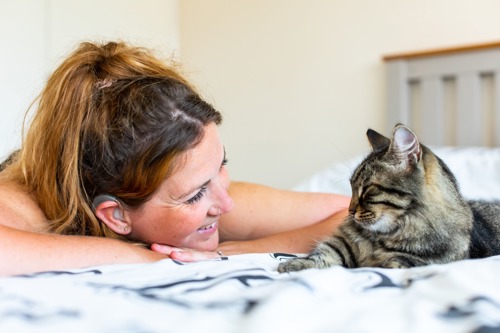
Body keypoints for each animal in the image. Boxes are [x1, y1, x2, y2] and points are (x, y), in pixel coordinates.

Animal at [280, 123, 500, 272]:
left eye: (367, 190)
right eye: (351, 187)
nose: (349, 211)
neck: (383, 237)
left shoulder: (412, 261)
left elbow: (385, 264)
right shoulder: (342, 245)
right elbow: (321, 255)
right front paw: (293, 264)